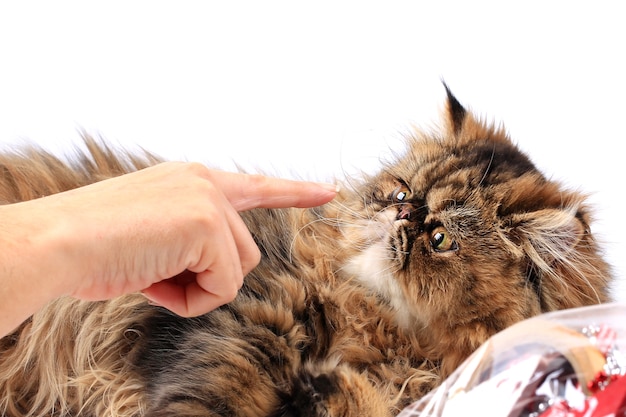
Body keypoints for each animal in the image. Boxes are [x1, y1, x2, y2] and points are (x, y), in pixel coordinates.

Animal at [0, 85, 608, 416]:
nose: (402, 217)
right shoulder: (238, 323)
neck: (369, 330)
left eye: (440, 240)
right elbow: (210, 397)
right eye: (401, 193)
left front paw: (327, 389)